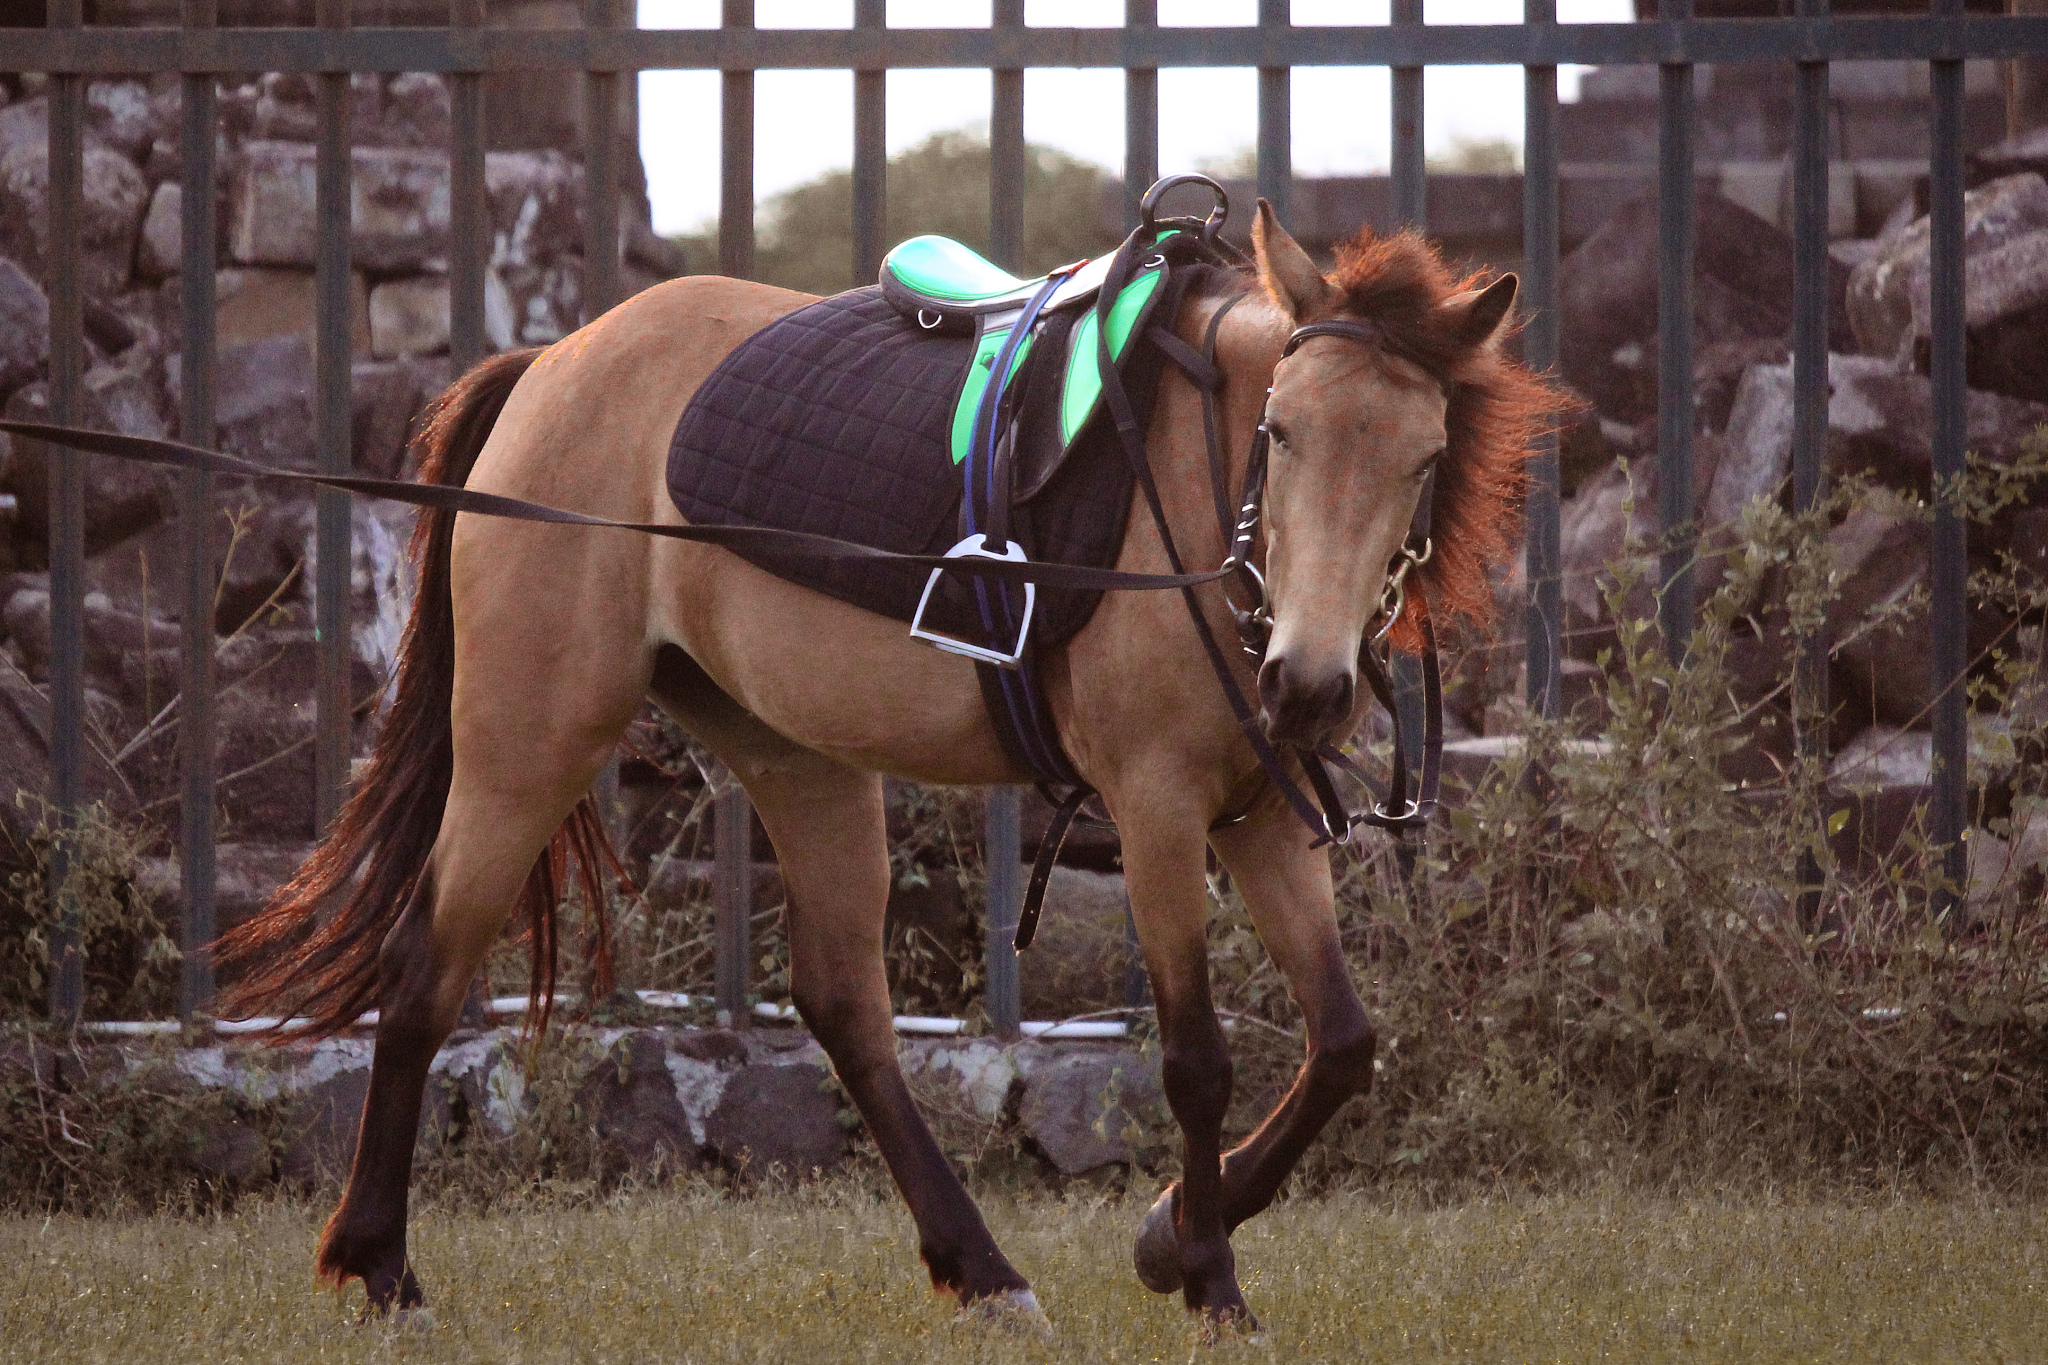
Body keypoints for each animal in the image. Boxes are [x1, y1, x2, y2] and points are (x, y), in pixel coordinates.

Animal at [210, 201, 1555, 1334]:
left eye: (1422, 458)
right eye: (1281, 433)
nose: (1309, 684)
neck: (1190, 485)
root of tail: (551, 366)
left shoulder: (1256, 818)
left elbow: (1340, 1045)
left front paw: (1173, 1236)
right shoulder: (1160, 812)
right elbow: (1196, 1060)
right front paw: (1212, 1281)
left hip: (794, 758)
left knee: (845, 1008)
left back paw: (984, 1270)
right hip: (525, 741)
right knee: (423, 968)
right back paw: (380, 1268)